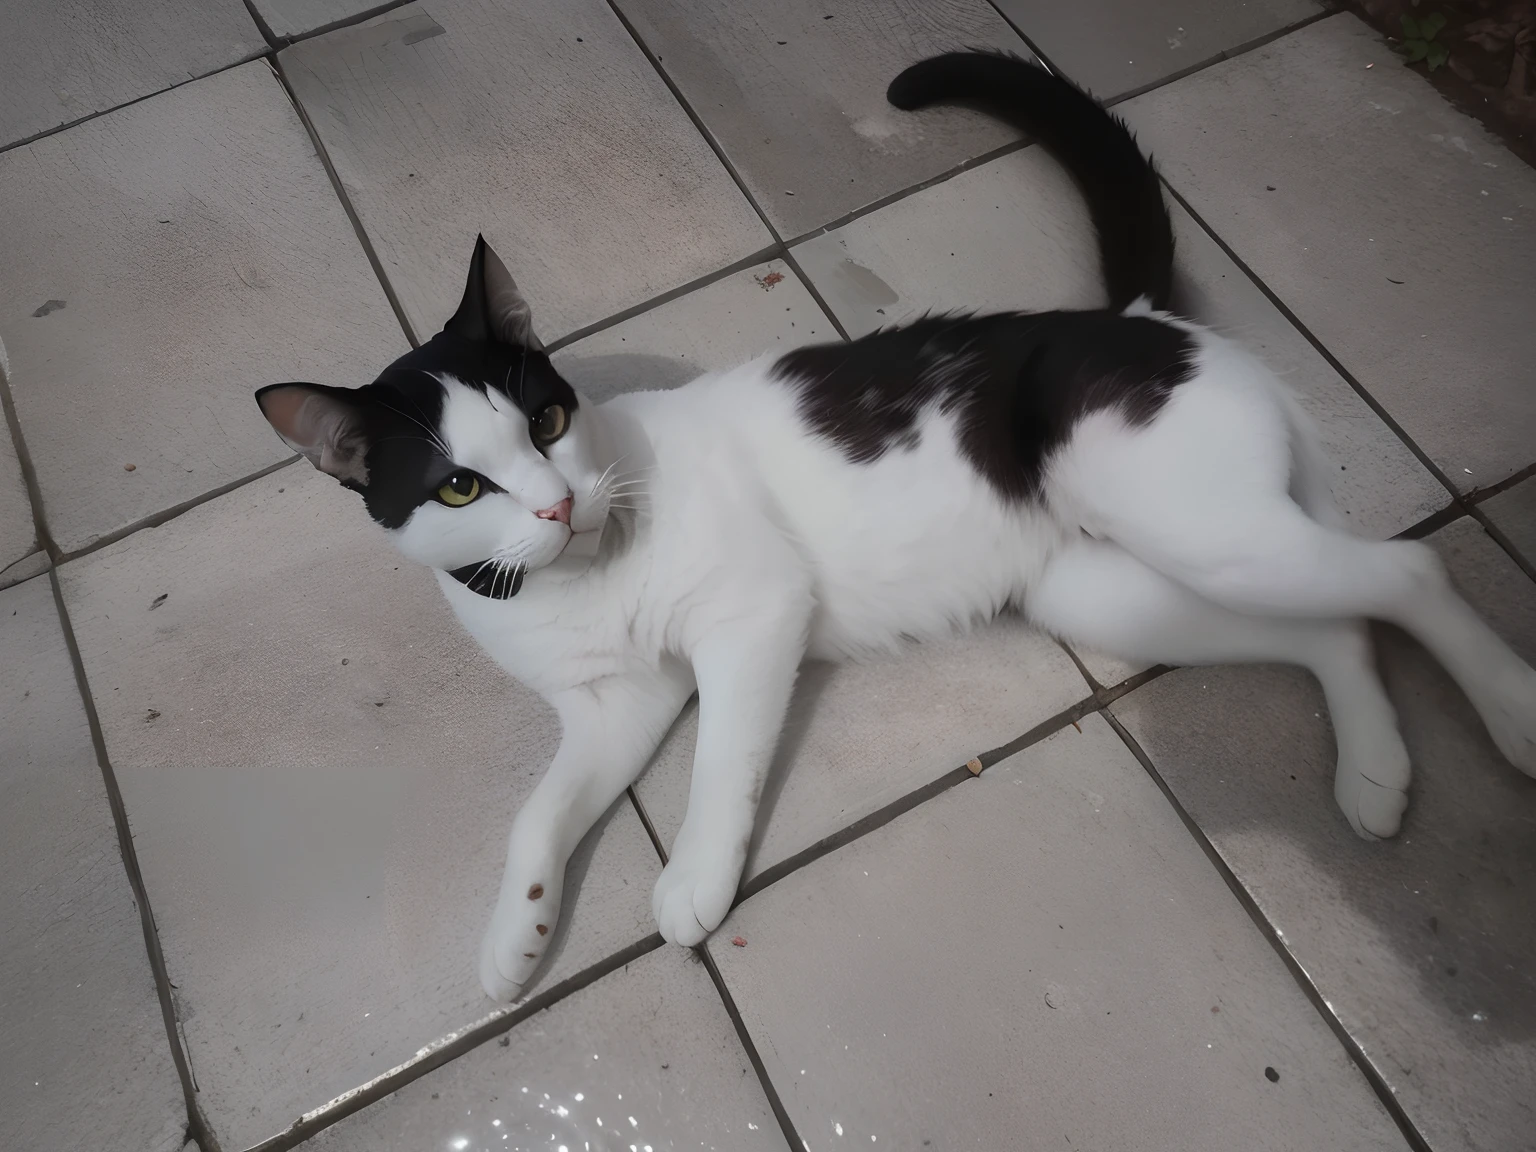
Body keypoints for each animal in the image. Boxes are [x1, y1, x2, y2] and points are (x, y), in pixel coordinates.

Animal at [254, 49, 1536, 1001]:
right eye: (459, 489)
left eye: (549, 421)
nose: (559, 504)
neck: (576, 579)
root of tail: (1138, 320)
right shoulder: (617, 706)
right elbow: (536, 817)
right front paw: (515, 938)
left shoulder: (749, 623)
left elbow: (720, 762)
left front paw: (695, 883)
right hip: (1122, 588)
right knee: (1339, 623)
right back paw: (1374, 771)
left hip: (1201, 533)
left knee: (1407, 571)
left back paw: (1515, 716)